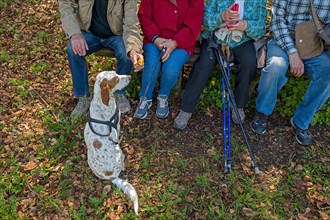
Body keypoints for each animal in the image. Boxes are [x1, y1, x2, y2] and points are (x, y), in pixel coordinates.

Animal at [84, 71, 139, 214]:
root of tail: (111, 177)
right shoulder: (117, 126)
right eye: (116, 79)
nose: (130, 77)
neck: (102, 102)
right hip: (119, 152)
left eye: (117, 73)